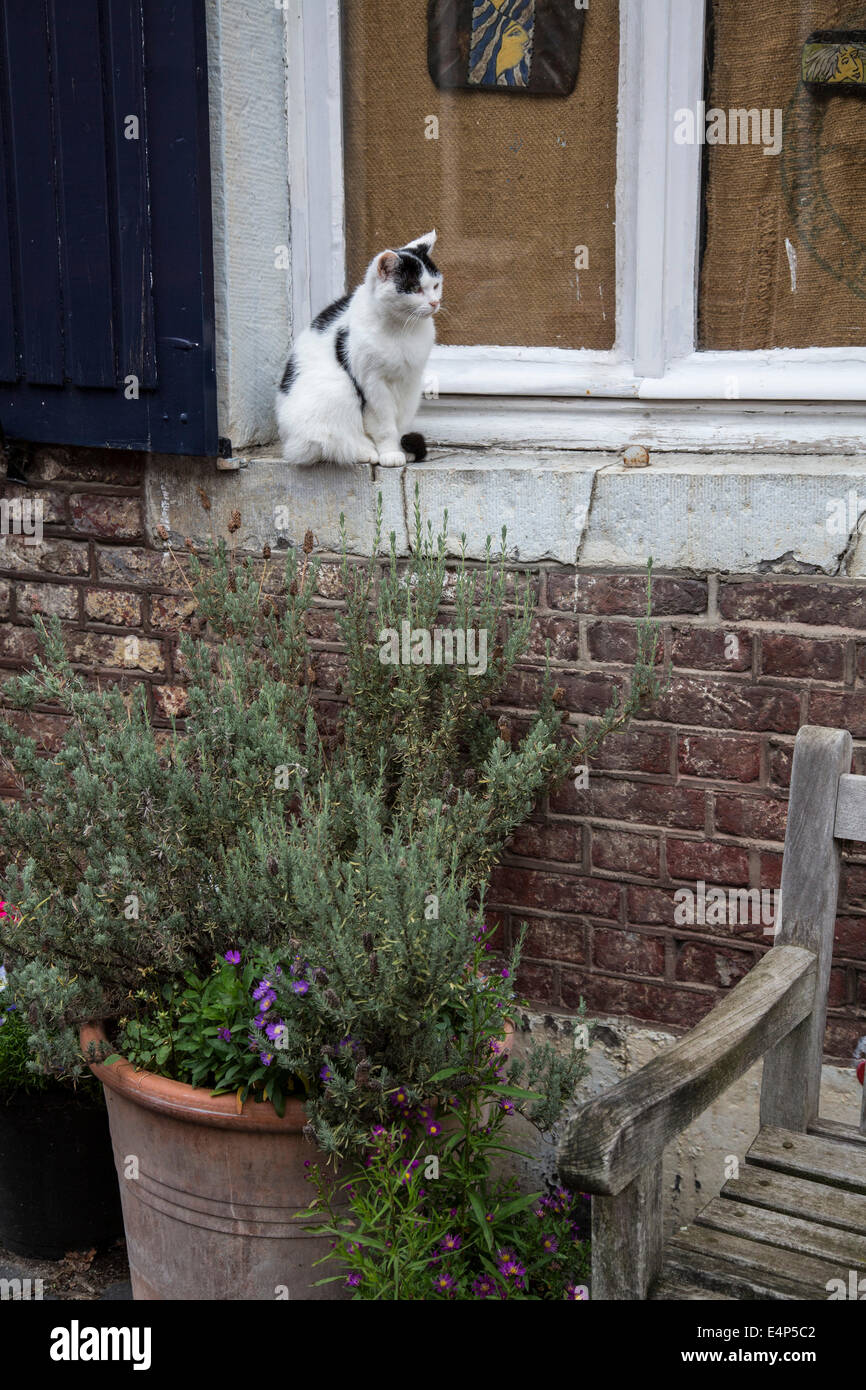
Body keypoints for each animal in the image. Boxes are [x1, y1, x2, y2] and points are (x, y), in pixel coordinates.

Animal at [276, 230, 444, 464]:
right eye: (415, 288)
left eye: (435, 286)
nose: (434, 303)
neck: (403, 329)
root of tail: (287, 439)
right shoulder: (372, 383)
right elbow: (384, 425)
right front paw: (390, 453)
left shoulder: (410, 381)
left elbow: (400, 422)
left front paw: (401, 449)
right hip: (337, 389)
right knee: (327, 441)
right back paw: (365, 452)